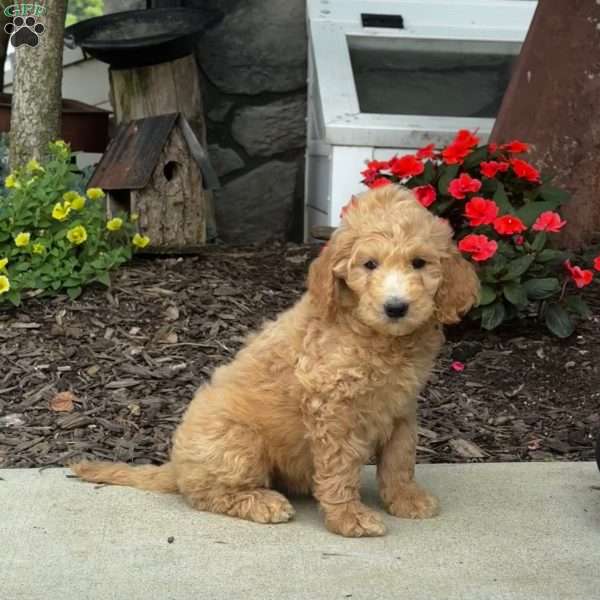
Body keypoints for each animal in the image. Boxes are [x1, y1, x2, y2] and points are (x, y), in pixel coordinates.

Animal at [74, 185, 478, 536]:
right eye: (369, 264)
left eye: (419, 263)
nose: (396, 307)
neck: (379, 339)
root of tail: (175, 467)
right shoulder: (333, 409)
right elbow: (340, 469)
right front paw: (350, 518)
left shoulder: (401, 408)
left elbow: (399, 459)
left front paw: (406, 499)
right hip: (240, 442)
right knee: (207, 494)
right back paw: (262, 502)